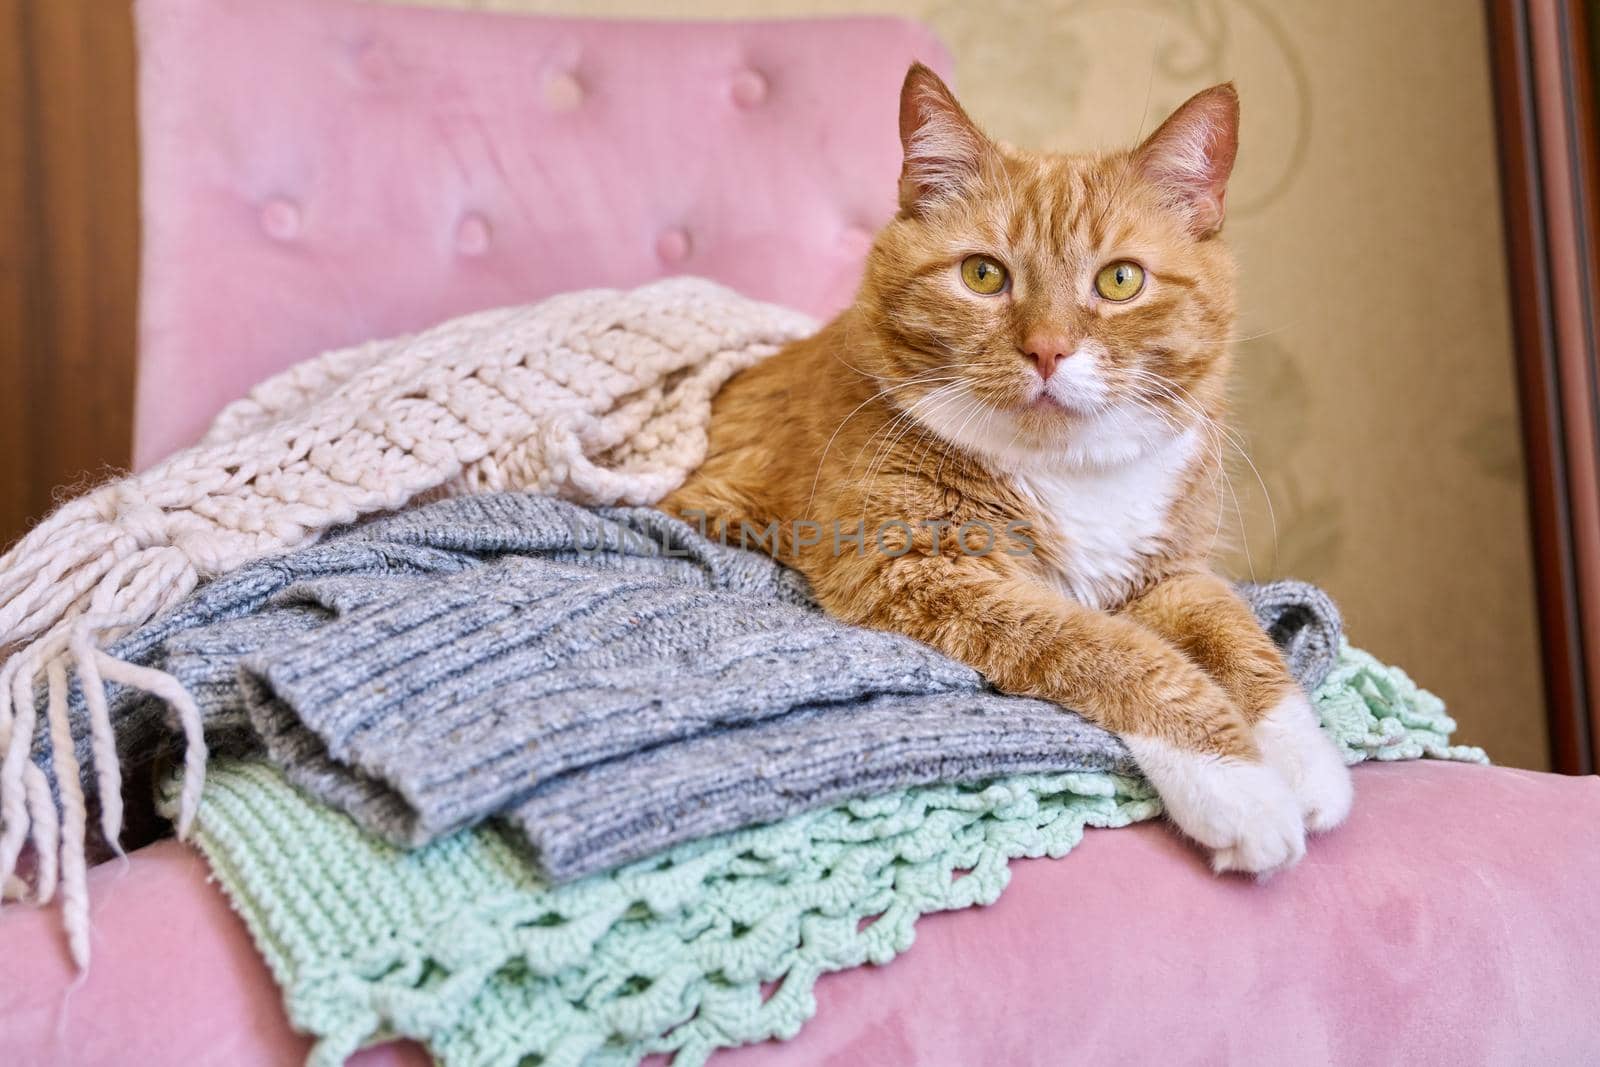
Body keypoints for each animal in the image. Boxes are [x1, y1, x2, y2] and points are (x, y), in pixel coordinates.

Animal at [662, 66, 1350, 870]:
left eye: (1121, 281)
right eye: (984, 274)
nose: (1047, 349)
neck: (1069, 471)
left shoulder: (1171, 572)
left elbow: (1239, 636)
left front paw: (1303, 758)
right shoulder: (920, 570)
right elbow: (1114, 651)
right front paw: (1238, 783)